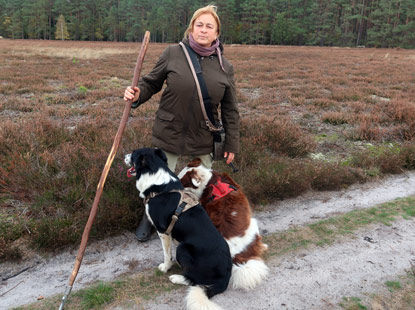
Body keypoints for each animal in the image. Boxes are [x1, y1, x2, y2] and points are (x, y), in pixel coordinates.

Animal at [125, 148, 232, 310]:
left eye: (133, 154)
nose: (123, 156)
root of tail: (226, 276)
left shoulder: (162, 231)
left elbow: (167, 254)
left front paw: (165, 267)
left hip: (183, 248)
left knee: (194, 280)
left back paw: (177, 278)